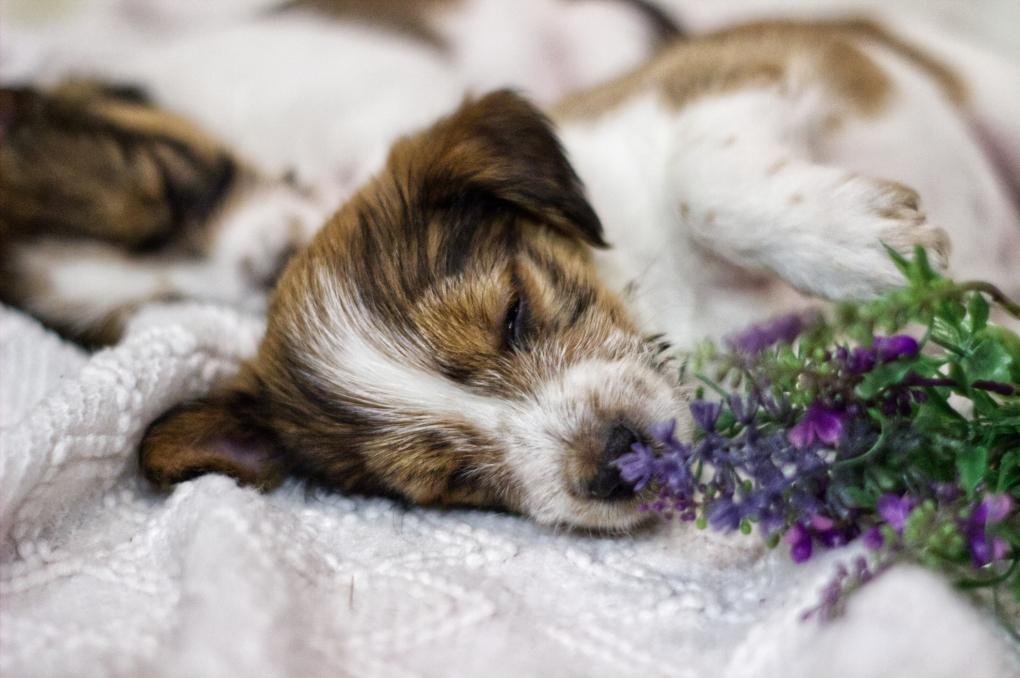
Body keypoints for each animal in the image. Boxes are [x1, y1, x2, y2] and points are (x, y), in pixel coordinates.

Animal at [1, 13, 1020, 530]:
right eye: (455, 481)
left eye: (515, 313)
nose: (618, 465)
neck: (655, 297)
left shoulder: (736, 72)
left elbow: (702, 176)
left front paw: (868, 250)